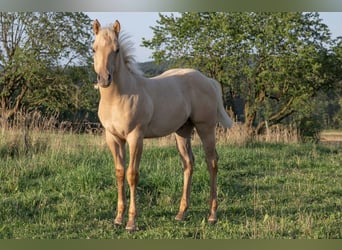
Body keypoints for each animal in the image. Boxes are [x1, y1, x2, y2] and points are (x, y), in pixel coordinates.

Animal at [92, 18, 234, 231]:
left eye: (116, 50)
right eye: (93, 49)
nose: (103, 79)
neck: (120, 97)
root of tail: (208, 80)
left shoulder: (136, 137)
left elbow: (132, 174)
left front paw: (131, 222)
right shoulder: (113, 138)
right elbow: (119, 173)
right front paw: (118, 219)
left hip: (205, 127)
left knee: (212, 162)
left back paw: (212, 215)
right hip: (182, 131)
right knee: (188, 163)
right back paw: (181, 214)